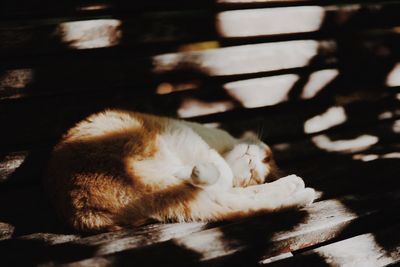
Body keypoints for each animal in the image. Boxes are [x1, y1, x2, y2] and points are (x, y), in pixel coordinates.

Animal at [43, 109, 316, 232]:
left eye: (254, 174)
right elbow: (223, 171)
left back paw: (298, 189)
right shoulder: (188, 135)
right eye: (264, 158)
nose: (251, 162)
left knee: (232, 199)